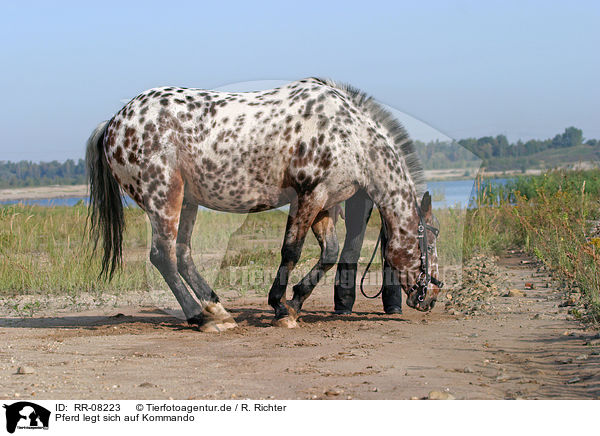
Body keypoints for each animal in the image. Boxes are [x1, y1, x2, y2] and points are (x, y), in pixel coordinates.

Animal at [85, 77, 440, 330]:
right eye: (430, 242)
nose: (433, 295)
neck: (351, 136)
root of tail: (114, 123)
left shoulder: (324, 202)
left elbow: (330, 253)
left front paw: (294, 303)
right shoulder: (307, 197)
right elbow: (291, 251)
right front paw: (281, 307)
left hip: (187, 201)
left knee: (182, 254)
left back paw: (218, 311)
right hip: (164, 196)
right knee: (163, 256)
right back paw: (199, 318)